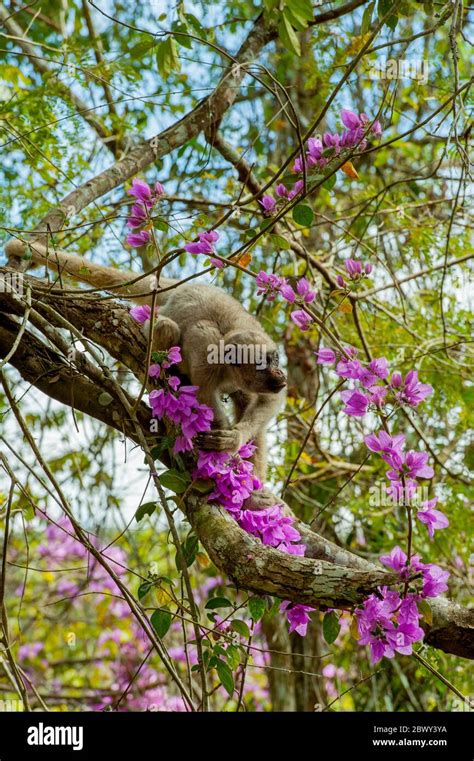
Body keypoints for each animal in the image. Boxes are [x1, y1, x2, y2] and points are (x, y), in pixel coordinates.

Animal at [5, 239, 286, 486]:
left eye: (275, 358)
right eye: (263, 365)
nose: (281, 374)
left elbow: (268, 401)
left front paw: (233, 439)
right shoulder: (206, 349)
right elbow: (203, 394)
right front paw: (222, 439)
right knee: (165, 327)